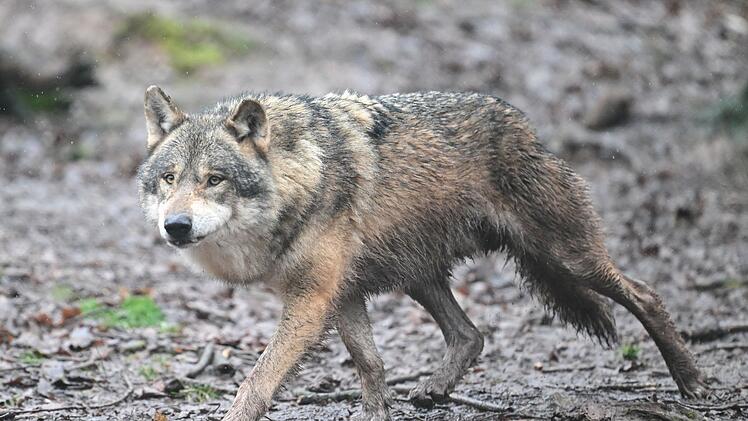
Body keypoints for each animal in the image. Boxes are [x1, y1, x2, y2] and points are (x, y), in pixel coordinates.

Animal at [137, 86, 708, 421]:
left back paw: (692, 382)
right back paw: (434, 390)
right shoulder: (341, 294)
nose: (176, 225)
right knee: (471, 335)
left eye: (214, 180)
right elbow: (371, 366)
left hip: (567, 257)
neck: (301, 178)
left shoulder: (312, 299)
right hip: (418, 276)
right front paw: (377, 415)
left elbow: (257, 382)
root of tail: (522, 123)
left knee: (646, 294)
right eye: (169, 179)